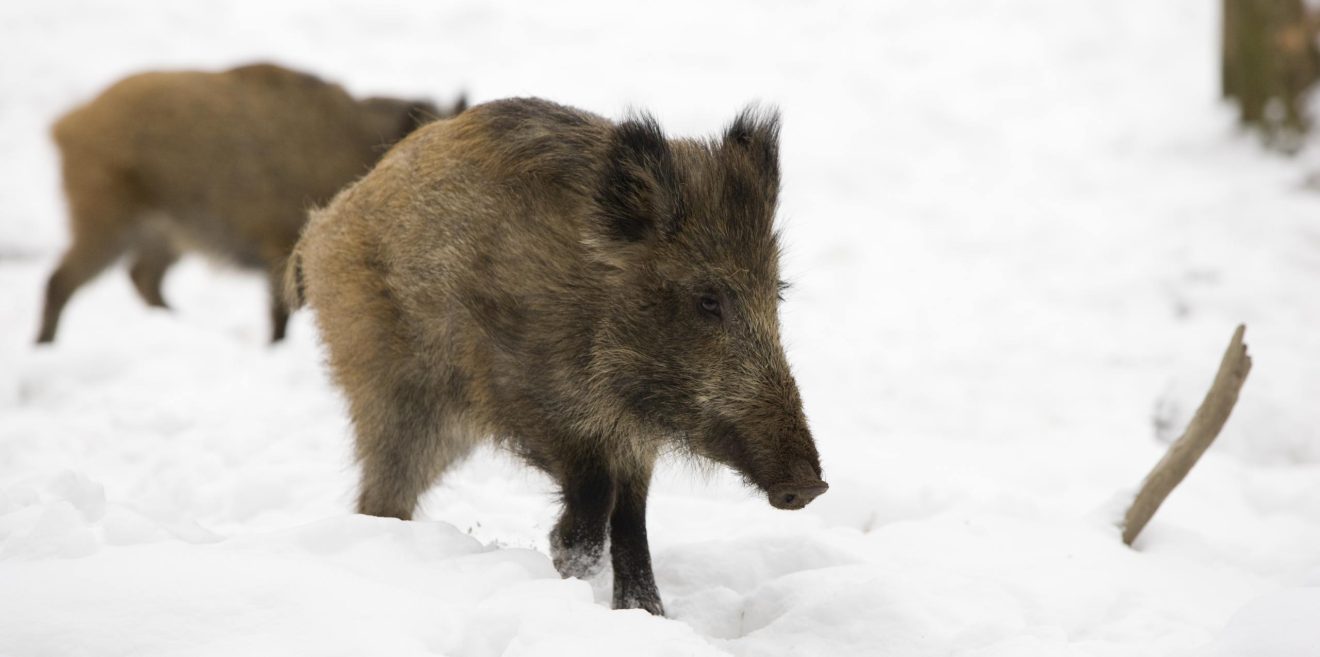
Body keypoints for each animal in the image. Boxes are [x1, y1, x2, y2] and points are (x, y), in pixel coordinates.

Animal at [36, 62, 466, 344]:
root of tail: (66, 124)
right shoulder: (279, 243)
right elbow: (280, 310)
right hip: (106, 220)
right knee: (62, 280)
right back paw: (46, 344)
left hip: (162, 236)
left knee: (141, 277)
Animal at [286, 98, 827, 615]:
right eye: (708, 300)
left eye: (776, 293)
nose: (810, 486)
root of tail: (320, 228)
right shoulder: (518, 396)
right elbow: (596, 499)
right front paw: (564, 558)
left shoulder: (632, 439)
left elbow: (632, 522)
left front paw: (647, 615)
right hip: (395, 393)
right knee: (383, 489)